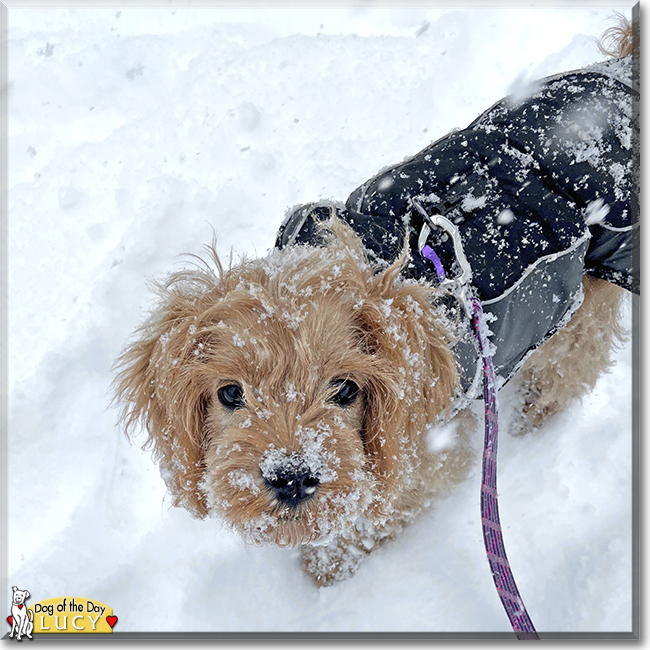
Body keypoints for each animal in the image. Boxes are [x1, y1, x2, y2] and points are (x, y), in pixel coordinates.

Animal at [112, 25, 632, 584]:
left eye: (344, 389)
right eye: (230, 394)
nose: (291, 478)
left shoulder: (424, 450)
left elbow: (375, 508)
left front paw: (325, 567)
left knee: (571, 366)